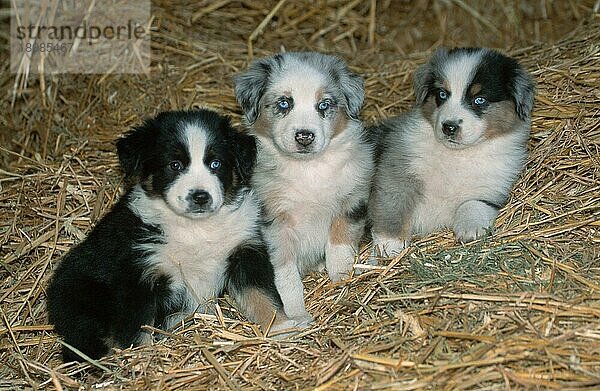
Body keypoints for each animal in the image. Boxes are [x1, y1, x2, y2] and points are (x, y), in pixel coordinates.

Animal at [45, 109, 294, 362]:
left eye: (216, 164)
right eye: (175, 165)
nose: (200, 196)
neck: (196, 229)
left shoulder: (245, 251)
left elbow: (262, 294)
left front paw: (281, 327)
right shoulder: (139, 274)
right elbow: (138, 326)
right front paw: (141, 359)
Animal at [236, 50, 372, 324]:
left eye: (324, 105)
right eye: (284, 103)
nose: (305, 136)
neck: (308, 169)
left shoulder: (351, 201)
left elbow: (339, 248)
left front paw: (342, 282)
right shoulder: (275, 222)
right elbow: (286, 276)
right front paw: (296, 313)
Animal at [370, 47, 536, 256]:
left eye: (479, 100)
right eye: (442, 94)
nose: (449, 127)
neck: (458, 156)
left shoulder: (492, 189)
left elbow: (473, 203)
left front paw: (471, 228)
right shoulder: (397, 171)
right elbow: (393, 205)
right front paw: (389, 243)